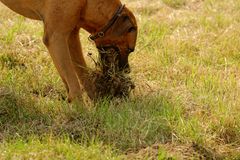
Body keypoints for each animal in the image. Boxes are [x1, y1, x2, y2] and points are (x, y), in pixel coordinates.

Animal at [0, 0, 138, 102]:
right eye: (130, 50)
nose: (127, 70)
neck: (87, 2)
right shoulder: (56, 37)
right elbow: (74, 84)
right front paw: (81, 112)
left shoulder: (71, 37)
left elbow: (81, 75)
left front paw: (96, 101)